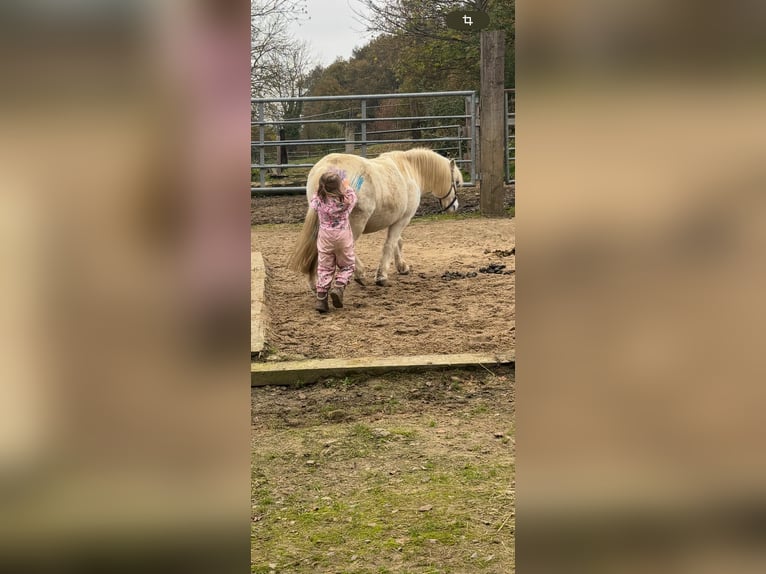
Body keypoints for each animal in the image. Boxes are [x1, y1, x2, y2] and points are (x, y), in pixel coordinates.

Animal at [290, 148, 462, 288]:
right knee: (344, 247)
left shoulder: (393, 219)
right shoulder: (403, 219)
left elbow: (397, 242)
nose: (454, 206)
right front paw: (382, 276)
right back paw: (359, 274)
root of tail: (328, 170)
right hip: (354, 223)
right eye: (456, 182)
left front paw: (402, 267)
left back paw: (314, 283)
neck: (410, 170)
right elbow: (390, 244)